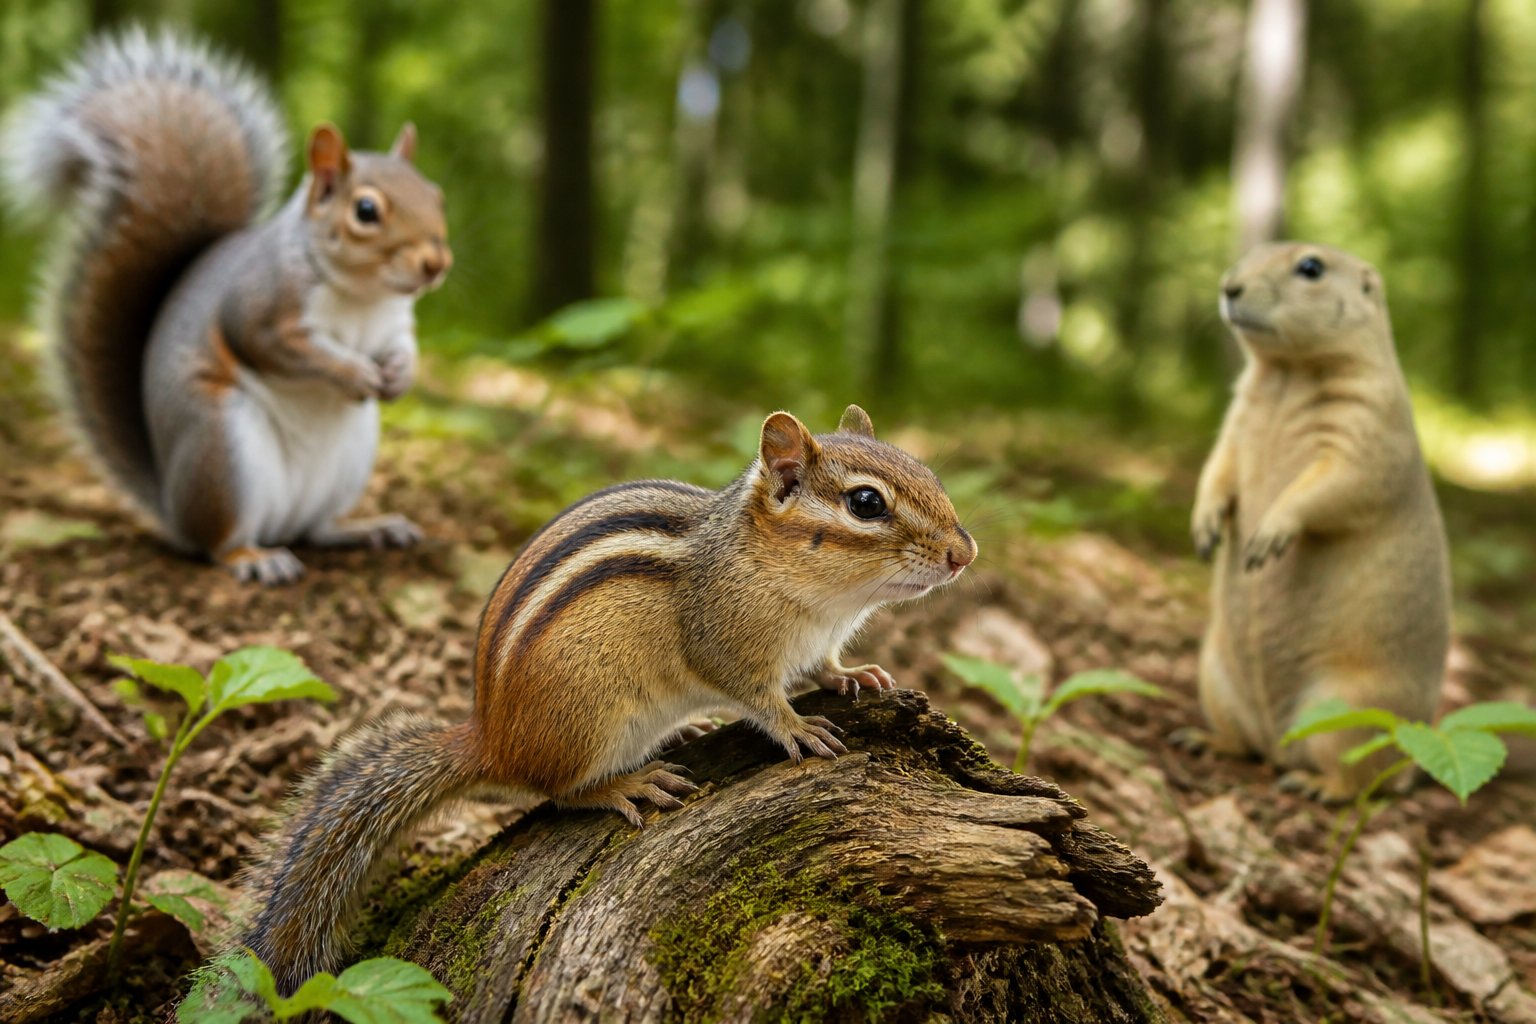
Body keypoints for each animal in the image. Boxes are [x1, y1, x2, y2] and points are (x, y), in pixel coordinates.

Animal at [1, 30, 451, 584]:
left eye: (436, 196)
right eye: (366, 211)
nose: (437, 263)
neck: (362, 294)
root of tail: (172, 507)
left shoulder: (393, 323)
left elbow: (404, 347)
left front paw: (399, 375)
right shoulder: (260, 307)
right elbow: (279, 346)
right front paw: (351, 372)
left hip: (349, 461)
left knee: (317, 528)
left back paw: (368, 527)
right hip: (224, 451)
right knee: (219, 543)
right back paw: (255, 558)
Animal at [231, 404, 976, 993]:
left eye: (929, 474)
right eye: (867, 504)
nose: (964, 554)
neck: (811, 593)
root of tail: (491, 737)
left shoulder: (818, 639)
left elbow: (824, 664)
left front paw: (856, 675)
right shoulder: (723, 642)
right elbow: (757, 696)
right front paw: (796, 726)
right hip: (590, 720)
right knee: (557, 791)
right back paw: (626, 784)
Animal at [1188, 241, 1451, 801]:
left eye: (1311, 267)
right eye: (1250, 253)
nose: (1228, 287)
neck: (1286, 374)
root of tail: (1279, 745)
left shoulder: (1369, 416)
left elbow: (1340, 478)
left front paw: (1267, 536)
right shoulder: (1236, 418)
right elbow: (1219, 462)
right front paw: (1205, 527)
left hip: (1353, 709)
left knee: (1362, 779)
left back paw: (1319, 786)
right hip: (1213, 673)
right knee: (1245, 744)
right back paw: (1205, 740)